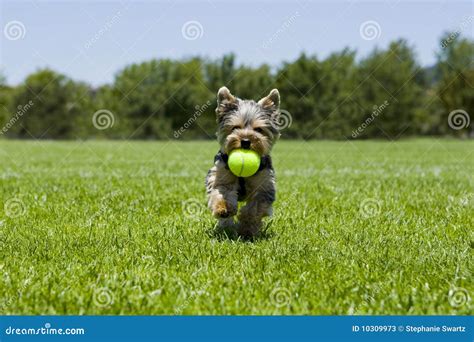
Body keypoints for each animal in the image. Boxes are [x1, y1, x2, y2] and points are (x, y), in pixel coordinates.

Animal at [205, 87, 280, 236]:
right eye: (235, 127)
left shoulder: (264, 186)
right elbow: (224, 193)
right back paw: (226, 227)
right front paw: (224, 209)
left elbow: (254, 208)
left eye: (259, 129)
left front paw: (247, 227)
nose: (245, 141)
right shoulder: (222, 176)